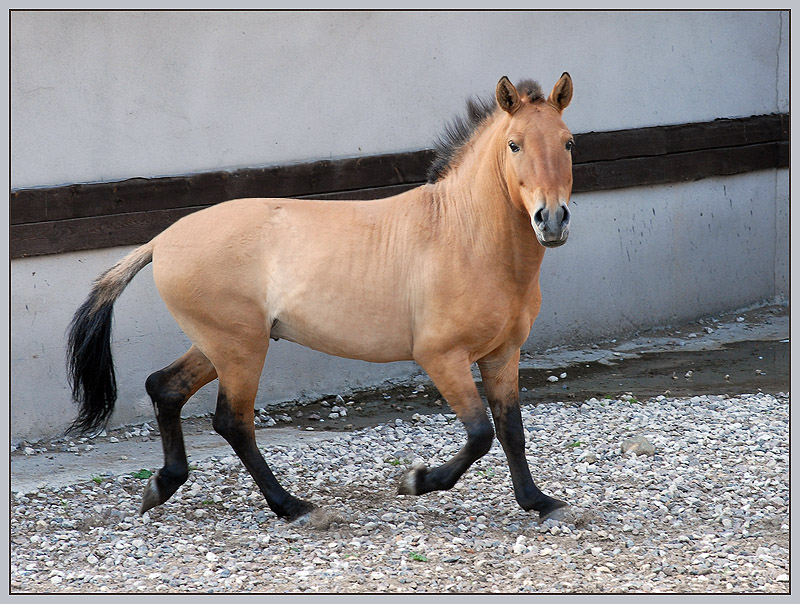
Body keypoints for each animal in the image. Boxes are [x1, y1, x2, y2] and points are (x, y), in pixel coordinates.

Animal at [65, 74, 572, 524]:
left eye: (567, 143)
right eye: (514, 144)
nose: (551, 220)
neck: (464, 234)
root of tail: (160, 241)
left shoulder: (502, 354)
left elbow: (511, 430)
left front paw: (539, 502)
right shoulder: (441, 356)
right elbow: (481, 432)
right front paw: (416, 481)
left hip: (221, 344)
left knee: (164, 388)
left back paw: (162, 485)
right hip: (240, 348)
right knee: (233, 422)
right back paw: (292, 506)